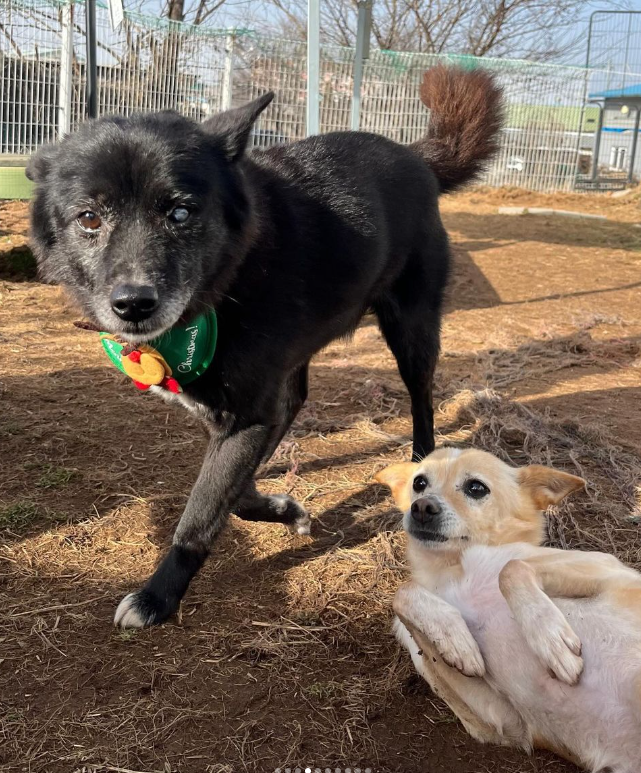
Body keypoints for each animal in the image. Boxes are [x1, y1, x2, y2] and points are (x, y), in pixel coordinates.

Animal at [26, 66, 503, 629]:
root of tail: (415, 155)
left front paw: (157, 597)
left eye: (181, 212)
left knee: (422, 400)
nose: (134, 304)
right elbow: (232, 496)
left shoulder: (248, 414)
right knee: (297, 400)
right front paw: (284, 509)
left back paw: (420, 464)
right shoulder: (235, 414)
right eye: (89, 218)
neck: (227, 283)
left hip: (411, 329)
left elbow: (200, 515)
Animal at [376, 447, 641, 773]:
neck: (453, 570)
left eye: (476, 488)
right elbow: (404, 592)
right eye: (420, 483)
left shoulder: (609, 569)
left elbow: (510, 568)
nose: (421, 507)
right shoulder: (501, 724)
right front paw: (456, 642)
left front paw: (553, 642)